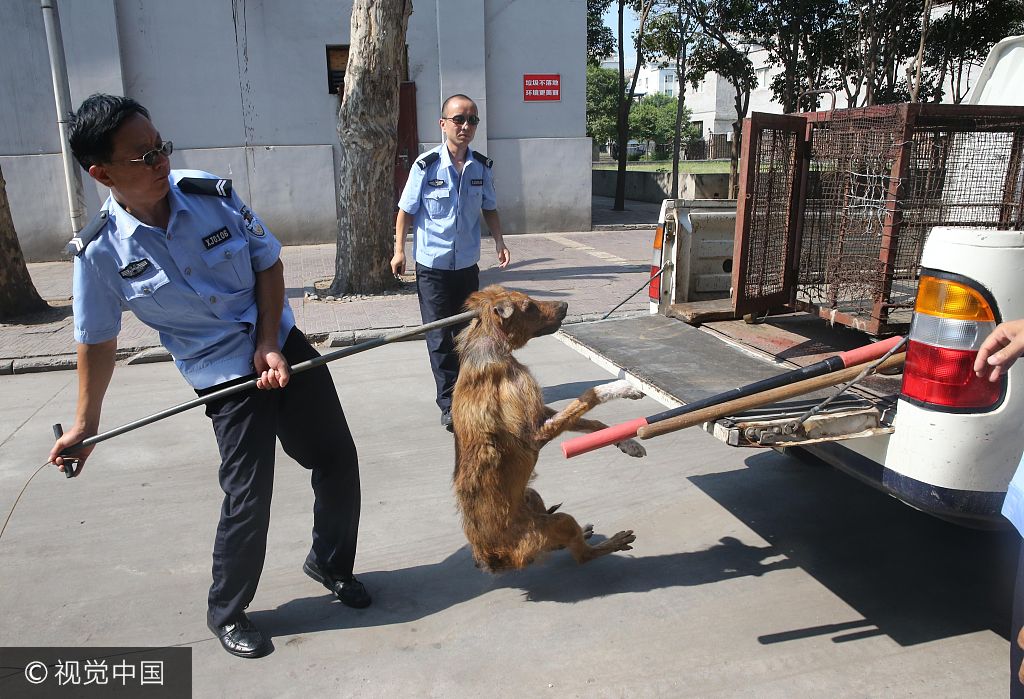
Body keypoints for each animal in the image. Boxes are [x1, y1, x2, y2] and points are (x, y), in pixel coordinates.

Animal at [452, 286, 643, 573]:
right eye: (529, 306)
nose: (565, 305)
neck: (491, 345)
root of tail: (492, 558)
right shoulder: (533, 434)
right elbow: (589, 394)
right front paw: (622, 387)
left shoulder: (542, 413)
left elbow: (591, 423)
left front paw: (627, 442)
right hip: (559, 521)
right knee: (583, 555)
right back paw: (611, 542)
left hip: (531, 494)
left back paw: (582, 534)